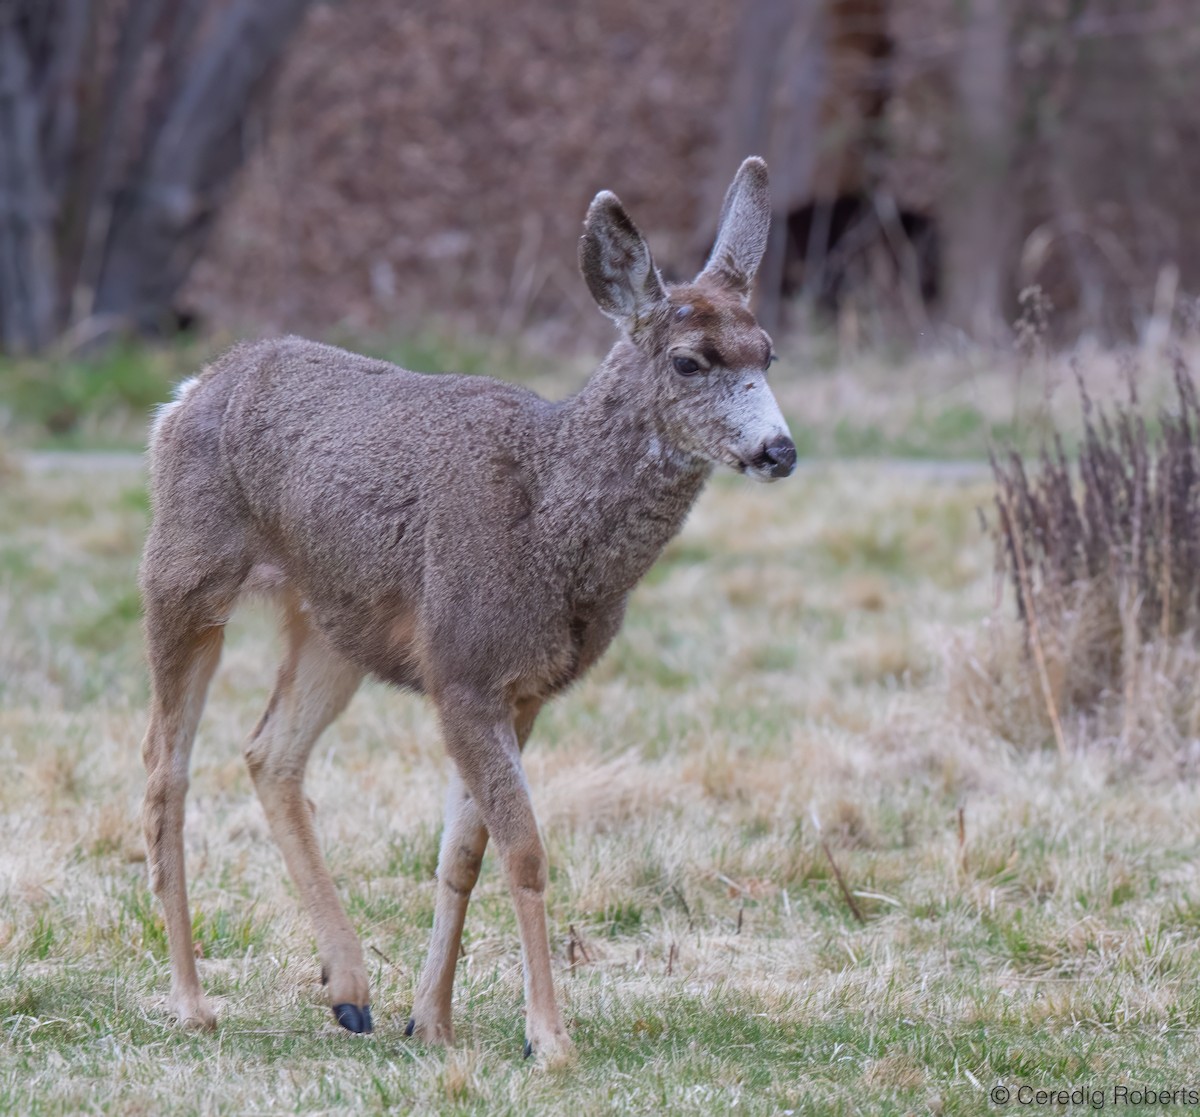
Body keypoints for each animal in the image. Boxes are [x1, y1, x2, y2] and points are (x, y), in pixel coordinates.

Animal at [138, 156, 796, 1067]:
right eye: (691, 360)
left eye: (769, 351)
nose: (780, 449)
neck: (551, 523)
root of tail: (188, 391)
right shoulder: (464, 665)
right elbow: (524, 850)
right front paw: (549, 1038)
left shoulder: (522, 687)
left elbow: (464, 852)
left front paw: (433, 1019)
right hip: (184, 566)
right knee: (164, 763)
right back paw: (192, 1001)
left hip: (333, 621)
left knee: (269, 752)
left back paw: (349, 988)